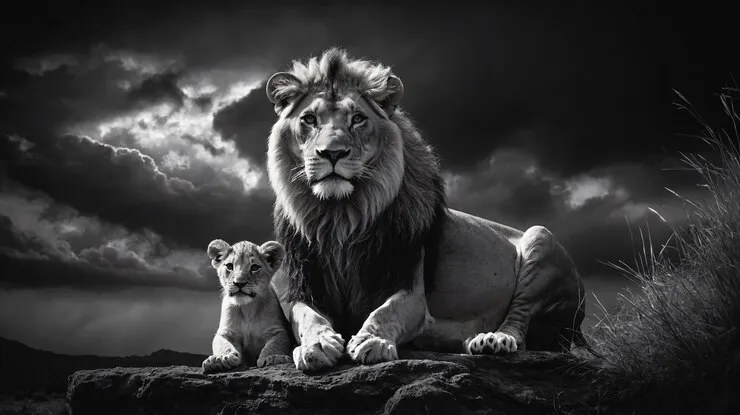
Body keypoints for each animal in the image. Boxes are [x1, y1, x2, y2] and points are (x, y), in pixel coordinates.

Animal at [202, 239, 293, 373]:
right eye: (229, 266)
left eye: (254, 267)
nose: (239, 283)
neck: (247, 308)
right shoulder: (226, 332)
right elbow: (222, 344)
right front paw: (220, 359)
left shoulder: (277, 331)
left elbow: (276, 344)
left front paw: (273, 357)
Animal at [264, 48, 589, 371]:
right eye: (309, 119)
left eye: (358, 118)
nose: (333, 153)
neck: (341, 216)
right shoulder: (302, 288)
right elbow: (308, 317)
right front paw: (317, 344)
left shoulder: (410, 289)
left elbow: (387, 311)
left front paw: (373, 341)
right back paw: (475, 340)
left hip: (541, 239)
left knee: (520, 327)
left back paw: (496, 340)